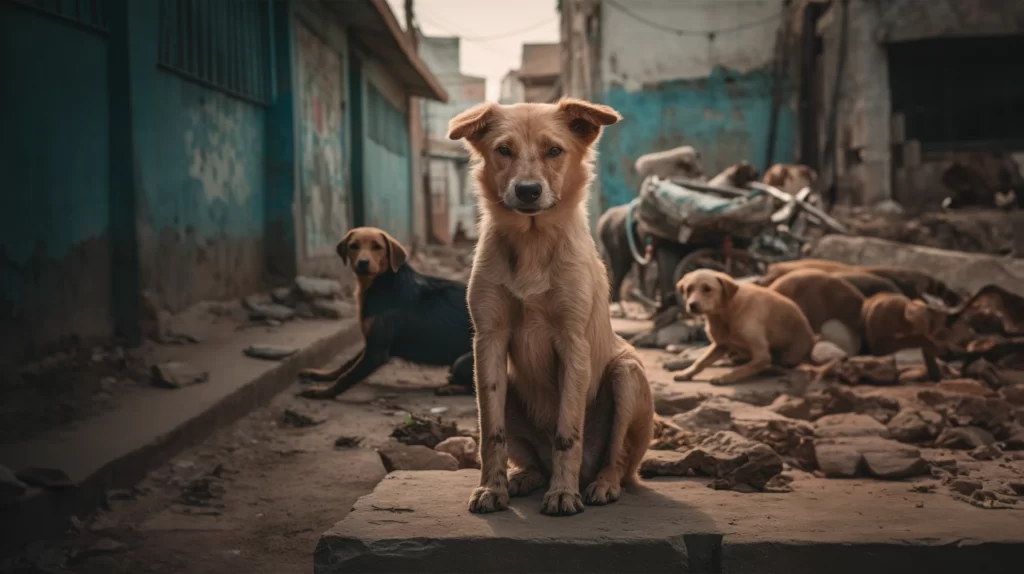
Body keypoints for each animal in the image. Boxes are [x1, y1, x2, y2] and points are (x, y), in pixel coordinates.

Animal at [294, 227, 473, 399]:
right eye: (353, 246)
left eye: (377, 247)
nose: (363, 262)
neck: (383, 282)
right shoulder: (371, 341)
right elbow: (347, 364)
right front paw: (322, 374)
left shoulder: (376, 352)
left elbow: (347, 377)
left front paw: (322, 392)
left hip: (460, 362)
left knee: (473, 389)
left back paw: (451, 388)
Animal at [671, 268, 815, 384]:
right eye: (688, 289)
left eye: (707, 289)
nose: (692, 305)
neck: (727, 312)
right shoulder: (720, 344)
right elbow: (701, 361)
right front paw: (686, 373)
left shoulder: (761, 354)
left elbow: (744, 368)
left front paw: (725, 377)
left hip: (789, 355)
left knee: (783, 365)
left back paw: (771, 369)